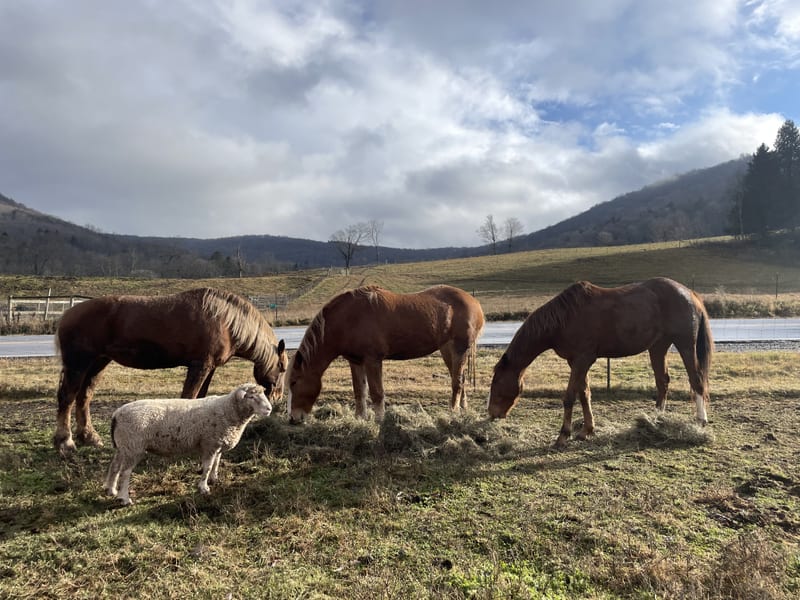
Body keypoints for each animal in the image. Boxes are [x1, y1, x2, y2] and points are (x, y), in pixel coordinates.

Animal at [53, 287, 287, 455]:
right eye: (282, 368)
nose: (276, 398)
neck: (224, 321)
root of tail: (67, 315)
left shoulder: (209, 368)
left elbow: (200, 398)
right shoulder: (199, 366)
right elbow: (189, 397)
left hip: (98, 363)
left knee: (84, 396)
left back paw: (88, 437)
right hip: (79, 364)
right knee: (67, 397)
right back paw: (65, 442)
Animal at [286, 284, 484, 422]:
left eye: (294, 382)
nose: (292, 419)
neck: (349, 318)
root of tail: (475, 303)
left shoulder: (373, 360)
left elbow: (376, 392)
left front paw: (379, 420)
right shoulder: (355, 361)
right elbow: (359, 391)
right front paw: (360, 419)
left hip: (460, 349)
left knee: (457, 382)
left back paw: (453, 412)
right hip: (447, 350)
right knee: (460, 379)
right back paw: (463, 409)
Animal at [487, 277, 713, 447]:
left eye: (496, 383)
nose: (491, 414)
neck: (564, 318)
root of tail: (689, 293)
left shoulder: (582, 360)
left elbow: (569, 397)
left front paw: (563, 435)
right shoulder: (575, 362)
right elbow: (584, 394)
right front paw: (586, 430)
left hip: (685, 344)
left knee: (696, 379)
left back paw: (700, 420)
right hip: (658, 347)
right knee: (662, 381)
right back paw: (655, 420)